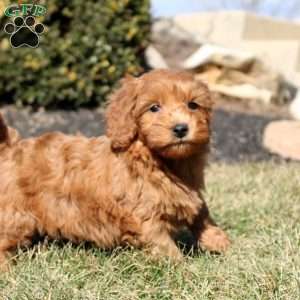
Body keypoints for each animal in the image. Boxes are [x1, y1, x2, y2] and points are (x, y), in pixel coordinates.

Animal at [0, 68, 230, 268]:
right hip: (15, 216)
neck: (156, 160)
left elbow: (202, 212)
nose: (181, 128)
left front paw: (219, 242)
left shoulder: (190, 191)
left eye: (193, 105)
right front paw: (183, 270)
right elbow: (163, 244)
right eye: (154, 108)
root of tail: (9, 148)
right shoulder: (144, 215)